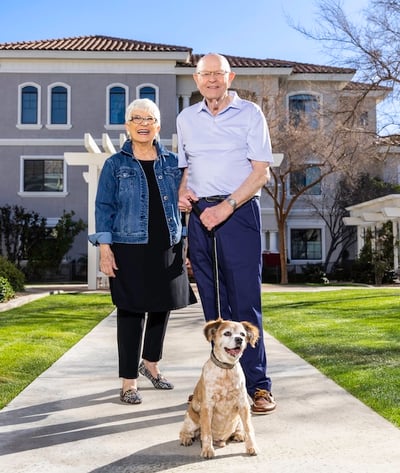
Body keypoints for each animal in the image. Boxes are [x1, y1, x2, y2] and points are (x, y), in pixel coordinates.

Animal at [179, 318, 260, 458]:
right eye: (227, 333)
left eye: (243, 334)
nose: (239, 339)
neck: (226, 370)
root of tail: (221, 440)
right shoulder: (207, 407)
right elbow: (206, 432)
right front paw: (207, 450)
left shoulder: (243, 405)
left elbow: (249, 429)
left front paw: (252, 447)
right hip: (191, 419)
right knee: (185, 431)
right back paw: (186, 438)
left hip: (238, 419)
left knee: (239, 429)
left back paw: (238, 435)